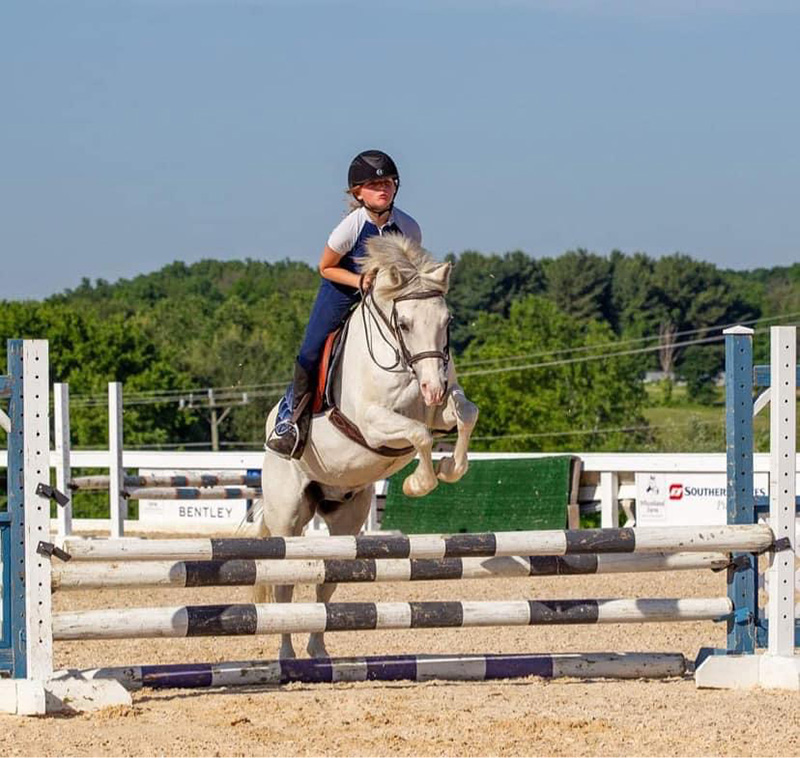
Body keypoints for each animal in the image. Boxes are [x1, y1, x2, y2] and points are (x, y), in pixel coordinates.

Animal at [258, 232, 482, 660]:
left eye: (447, 321)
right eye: (405, 323)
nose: (433, 388)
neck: (403, 360)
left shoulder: (442, 406)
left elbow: (464, 414)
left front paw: (450, 468)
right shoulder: (372, 423)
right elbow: (419, 434)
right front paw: (418, 483)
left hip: (346, 519)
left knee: (329, 579)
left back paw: (318, 653)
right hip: (287, 517)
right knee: (283, 583)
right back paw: (287, 656)